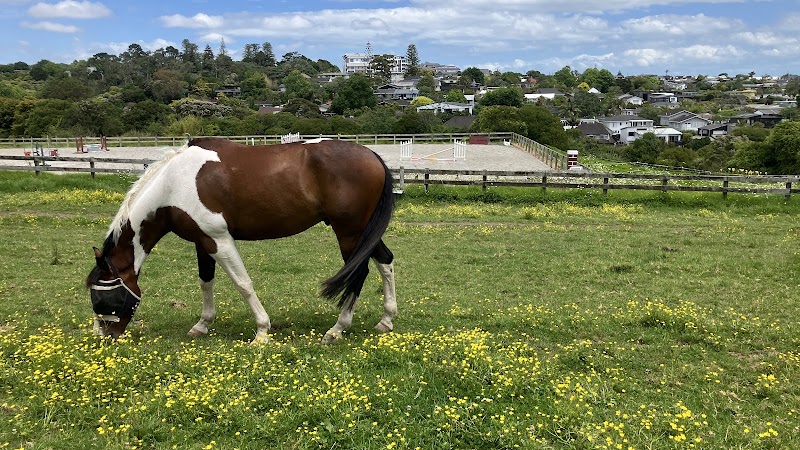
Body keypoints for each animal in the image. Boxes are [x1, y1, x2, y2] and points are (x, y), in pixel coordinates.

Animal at [86, 137, 397, 344]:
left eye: (102, 298)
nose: (105, 336)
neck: (174, 184)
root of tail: (372, 154)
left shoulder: (219, 240)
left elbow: (243, 284)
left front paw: (261, 331)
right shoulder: (202, 242)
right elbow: (205, 281)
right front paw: (202, 324)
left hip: (349, 233)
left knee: (359, 273)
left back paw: (337, 329)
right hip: (363, 233)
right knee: (385, 261)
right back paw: (386, 319)